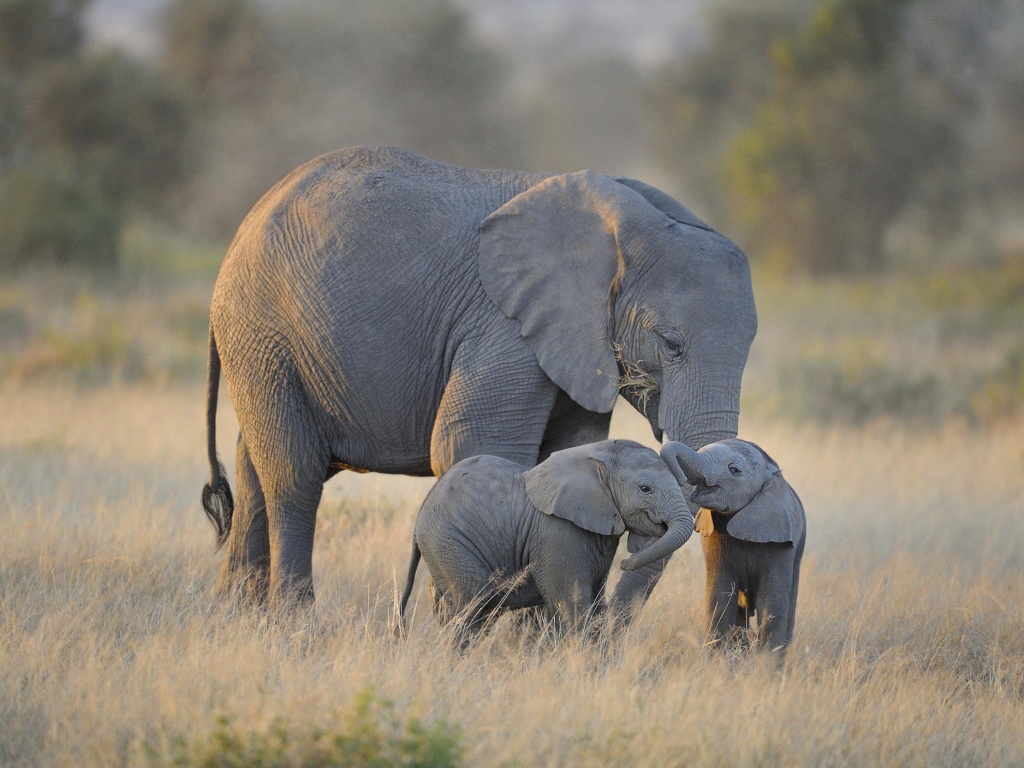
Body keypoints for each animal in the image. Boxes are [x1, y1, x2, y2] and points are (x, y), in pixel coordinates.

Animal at [201, 147, 761, 610]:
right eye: (670, 344)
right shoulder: (503, 326)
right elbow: (472, 445)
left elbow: (569, 451)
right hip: (263, 331)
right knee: (294, 475)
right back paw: (294, 623)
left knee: (254, 466)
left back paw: (235, 617)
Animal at [399, 442, 696, 638]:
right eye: (645, 489)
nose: (626, 562)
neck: (596, 457)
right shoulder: (558, 534)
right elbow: (573, 606)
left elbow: (596, 605)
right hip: (448, 541)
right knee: (475, 602)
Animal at [659, 438, 802, 655]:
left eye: (734, 470)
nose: (682, 481)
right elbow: (720, 596)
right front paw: (717, 659)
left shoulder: (781, 540)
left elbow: (772, 603)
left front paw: (766, 664)